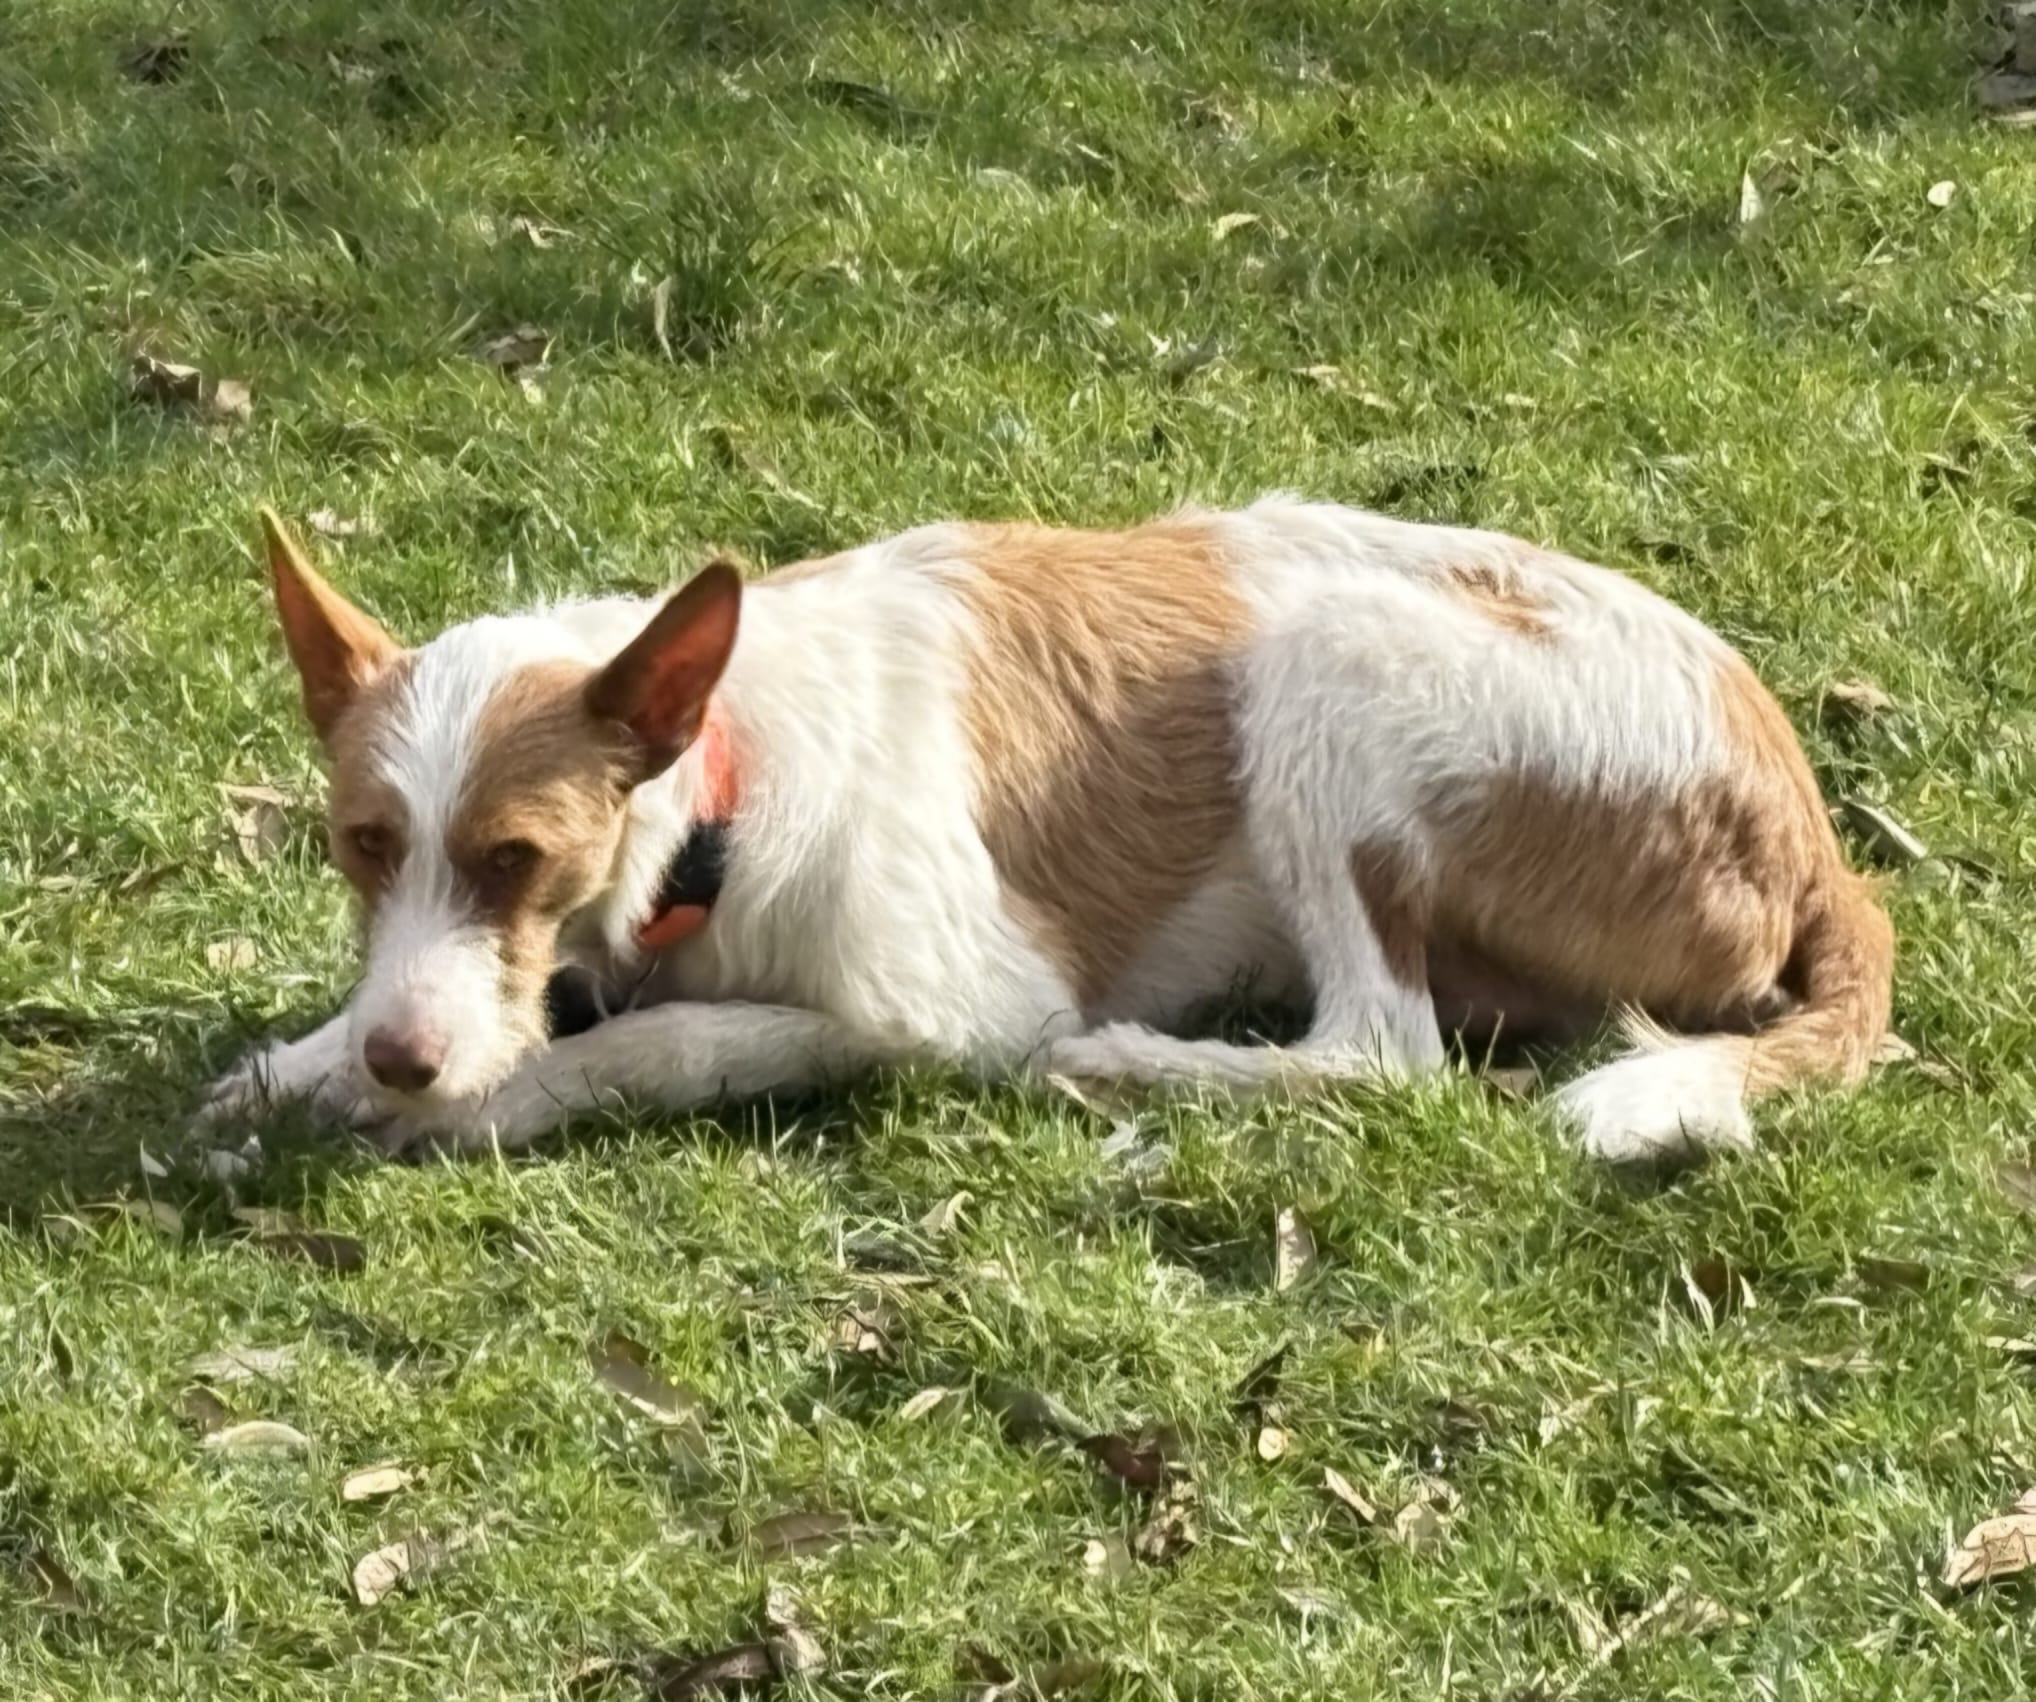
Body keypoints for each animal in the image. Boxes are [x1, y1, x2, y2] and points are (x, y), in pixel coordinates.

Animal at [201, 498, 1892, 1163]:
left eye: (522, 858)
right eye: (363, 844)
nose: (401, 1060)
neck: (721, 803)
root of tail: (1822, 849)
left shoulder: (947, 1006)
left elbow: (666, 1043)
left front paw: (486, 1099)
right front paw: (305, 1061)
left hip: (1327, 663)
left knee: (1382, 1047)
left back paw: (1138, 1064)